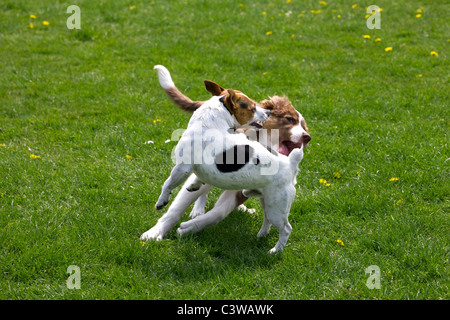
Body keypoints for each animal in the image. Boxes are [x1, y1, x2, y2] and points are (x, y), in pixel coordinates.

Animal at [141, 66, 310, 251]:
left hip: (277, 207)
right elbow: (197, 181)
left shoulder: (182, 167)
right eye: (252, 108)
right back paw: (261, 234)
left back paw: (275, 250)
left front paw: (162, 201)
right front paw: (194, 186)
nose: (268, 111)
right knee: (267, 219)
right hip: (267, 200)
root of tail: (291, 163)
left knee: (286, 229)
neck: (212, 121)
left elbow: (168, 184)